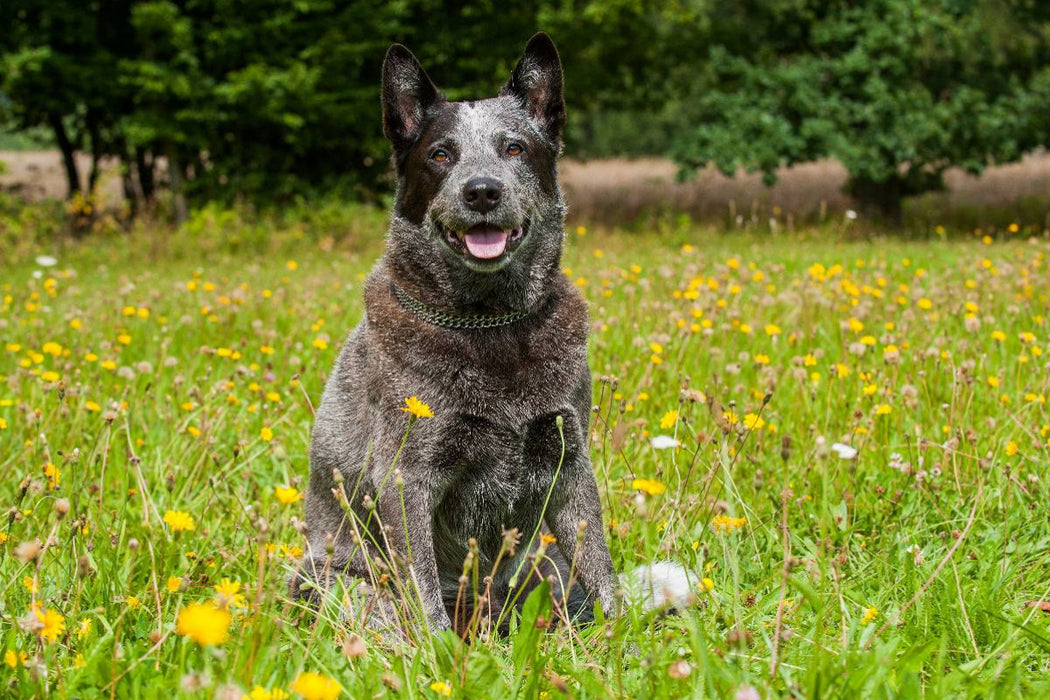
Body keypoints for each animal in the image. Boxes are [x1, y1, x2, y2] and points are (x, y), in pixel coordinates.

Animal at [294, 31, 688, 633]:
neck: (490, 322)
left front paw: (623, 641)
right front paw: (436, 652)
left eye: (514, 149)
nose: (481, 191)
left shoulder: (569, 465)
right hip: (336, 582)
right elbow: (423, 593)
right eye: (440, 155)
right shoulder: (407, 480)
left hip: (542, 568)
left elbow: (601, 567)